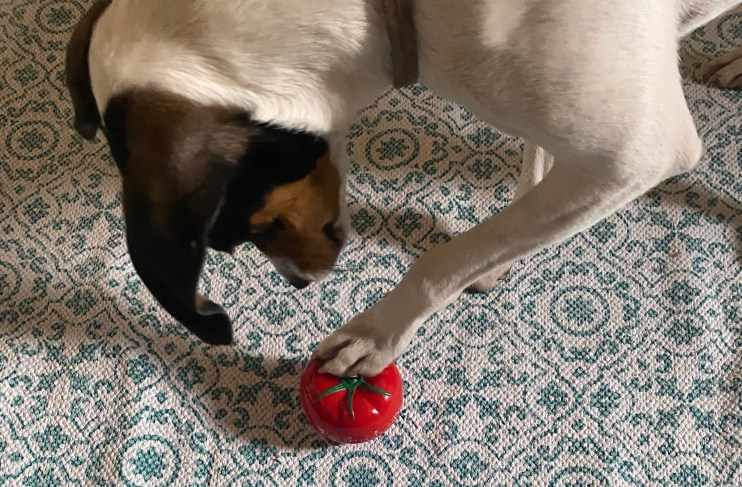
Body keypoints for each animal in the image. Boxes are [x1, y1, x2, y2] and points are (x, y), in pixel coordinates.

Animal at [65, 0, 742, 378]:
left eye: (250, 230)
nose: (298, 285)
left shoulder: (636, 156)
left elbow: (446, 258)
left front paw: (375, 336)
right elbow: (527, 183)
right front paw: (502, 253)